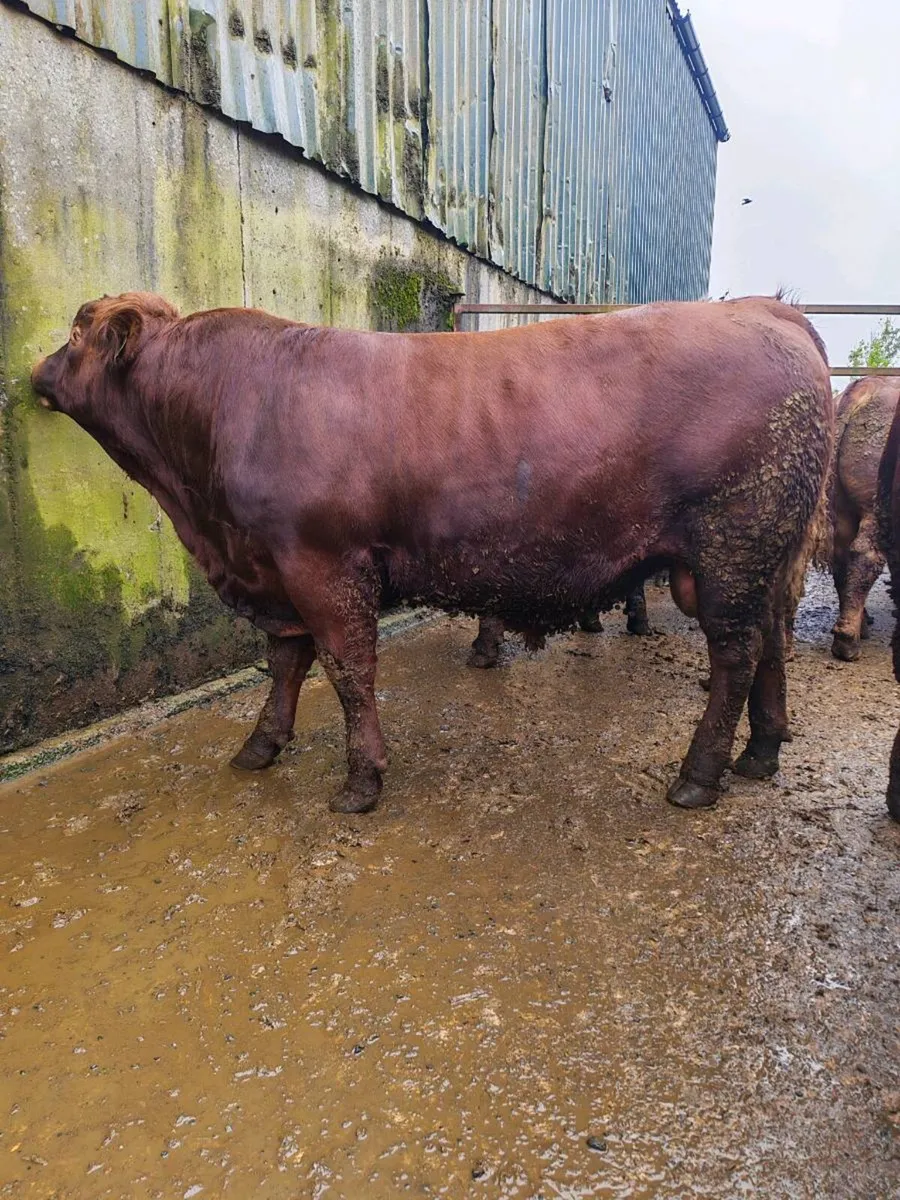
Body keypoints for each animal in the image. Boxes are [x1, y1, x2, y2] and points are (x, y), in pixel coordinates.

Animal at [31, 292, 832, 815]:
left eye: (75, 330)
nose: (35, 370)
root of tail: (767, 310)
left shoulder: (323, 566)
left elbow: (347, 671)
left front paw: (361, 781)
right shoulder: (276, 574)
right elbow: (286, 663)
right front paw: (261, 747)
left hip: (731, 550)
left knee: (736, 655)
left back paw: (699, 776)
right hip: (755, 561)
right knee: (770, 643)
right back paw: (760, 754)